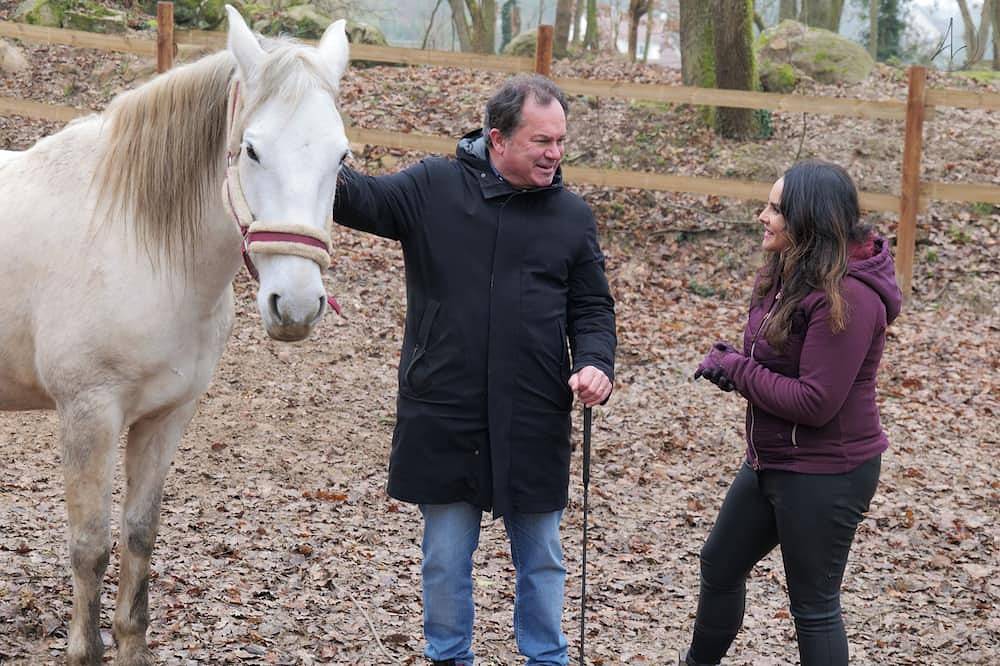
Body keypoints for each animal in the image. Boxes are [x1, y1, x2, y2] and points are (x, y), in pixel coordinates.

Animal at [0, 7, 350, 664]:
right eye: (252, 150)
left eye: (340, 158)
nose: (295, 305)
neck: (135, 239)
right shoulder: (88, 414)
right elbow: (90, 546)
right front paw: (83, 648)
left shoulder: (166, 416)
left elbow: (139, 536)